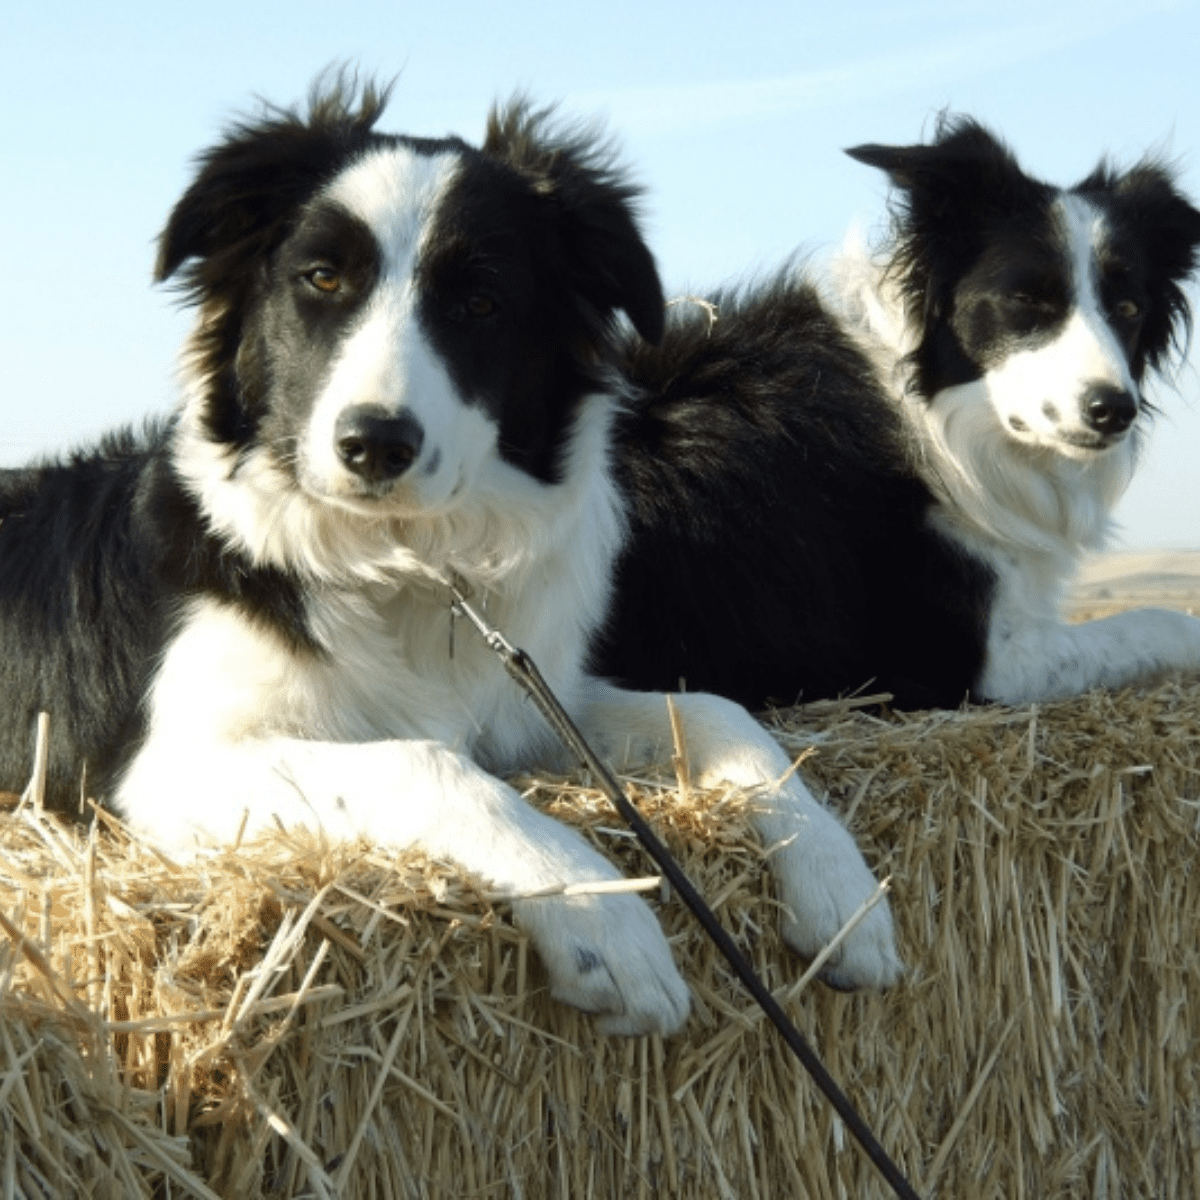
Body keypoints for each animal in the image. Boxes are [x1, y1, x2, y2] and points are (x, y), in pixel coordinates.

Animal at [0, 82, 902, 1032]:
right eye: (322, 279)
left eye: (480, 302)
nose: (374, 443)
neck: (404, 563)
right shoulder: (166, 768)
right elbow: (424, 759)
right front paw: (605, 921)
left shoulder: (530, 704)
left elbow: (721, 713)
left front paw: (839, 884)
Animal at [600, 117, 1200, 710]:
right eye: (1026, 300)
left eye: (1128, 309)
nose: (1113, 410)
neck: (926, 413)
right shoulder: (986, 660)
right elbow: (1163, 622)